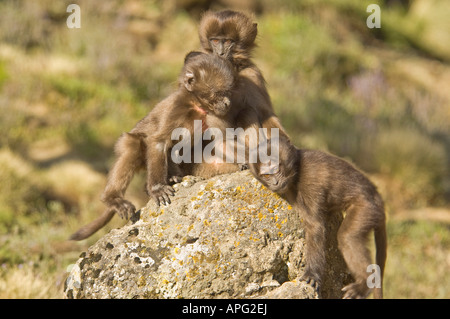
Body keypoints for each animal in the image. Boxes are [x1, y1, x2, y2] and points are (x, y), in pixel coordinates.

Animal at [69, 52, 243, 241]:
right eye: (219, 92)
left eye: (228, 92)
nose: (227, 103)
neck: (197, 107)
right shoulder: (175, 108)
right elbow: (159, 142)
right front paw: (157, 189)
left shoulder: (213, 116)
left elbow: (220, 142)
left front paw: (243, 161)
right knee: (132, 146)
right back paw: (114, 198)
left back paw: (172, 176)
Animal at [200, 9, 288, 139]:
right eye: (215, 41)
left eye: (228, 41)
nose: (220, 53)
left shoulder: (252, 74)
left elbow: (266, 115)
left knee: (247, 112)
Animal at [250, 138, 386, 300]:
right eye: (266, 176)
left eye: (275, 170)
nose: (274, 183)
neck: (297, 168)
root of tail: (377, 195)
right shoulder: (288, 190)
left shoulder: (310, 178)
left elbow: (315, 226)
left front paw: (312, 274)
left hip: (366, 208)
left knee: (347, 237)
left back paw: (365, 284)